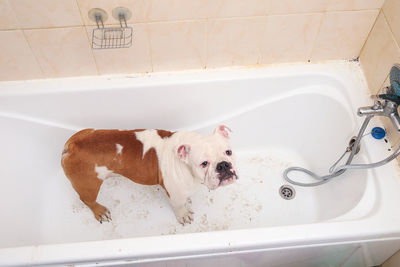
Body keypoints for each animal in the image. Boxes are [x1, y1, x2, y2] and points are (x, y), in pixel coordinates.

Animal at [61, 125, 238, 224]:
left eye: (228, 152)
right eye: (204, 163)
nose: (223, 165)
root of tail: (72, 145)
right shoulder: (175, 194)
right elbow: (179, 206)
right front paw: (183, 215)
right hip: (88, 184)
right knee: (87, 200)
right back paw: (100, 211)